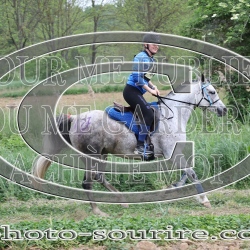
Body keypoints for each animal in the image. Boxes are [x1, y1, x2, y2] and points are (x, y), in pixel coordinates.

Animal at [31, 78, 227, 217]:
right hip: (90, 155)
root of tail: (75, 118)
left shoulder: (173, 153)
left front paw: (170, 189)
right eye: (211, 91)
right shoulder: (172, 153)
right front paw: (204, 200)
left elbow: (186, 173)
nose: (224, 110)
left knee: (98, 177)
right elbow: (191, 172)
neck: (173, 114)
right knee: (88, 182)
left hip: (102, 155)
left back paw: (122, 200)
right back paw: (98, 211)